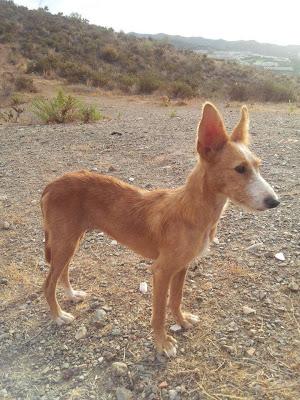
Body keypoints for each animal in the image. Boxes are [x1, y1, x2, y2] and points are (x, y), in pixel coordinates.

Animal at [40, 103, 278, 356]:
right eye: (240, 169)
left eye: (258, 166)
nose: (275, 202)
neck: (193, 210)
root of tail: (52, 184)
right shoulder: (161, 270)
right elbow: (160, 312)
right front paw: (162, 343)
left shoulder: (182, 266)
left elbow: (176, 299)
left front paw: (182, 321)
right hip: (64, 241)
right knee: (48, 284)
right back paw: (58, 316)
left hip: (71, 241)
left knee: (62, 273)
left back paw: (72, 295)